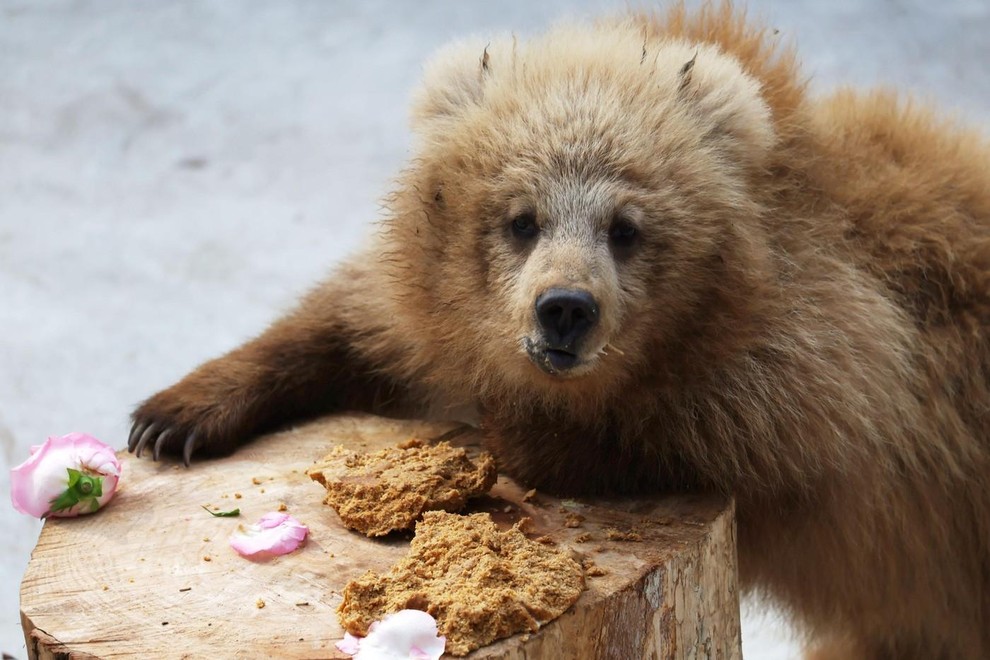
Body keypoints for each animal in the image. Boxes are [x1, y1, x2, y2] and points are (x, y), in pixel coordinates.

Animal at [128, 2, 988, 656]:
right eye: (521, 217)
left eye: (626, 228)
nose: (565, 308)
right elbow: (353, 318)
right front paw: (174, 416)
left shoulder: (812, 407)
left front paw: (495, 433)